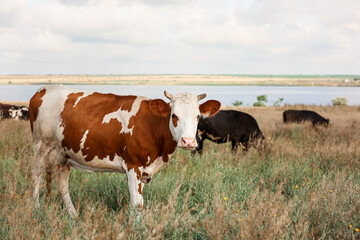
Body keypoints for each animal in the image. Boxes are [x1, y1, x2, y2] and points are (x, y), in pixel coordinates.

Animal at [28, 85, 219, 218]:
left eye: (197, 116)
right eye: (174, 115)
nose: (188, 141)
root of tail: (43, 89)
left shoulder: (144, 170)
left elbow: (139, 201)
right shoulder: (133, 165)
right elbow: (137, 204)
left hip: (63, 155)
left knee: (62, 183)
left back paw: (73, 215)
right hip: (41, 146)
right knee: (36, 176)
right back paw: (36, 209)